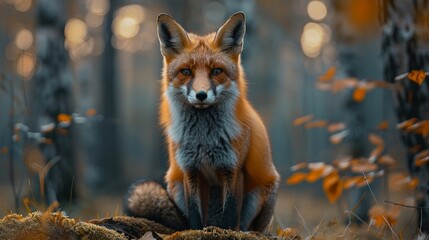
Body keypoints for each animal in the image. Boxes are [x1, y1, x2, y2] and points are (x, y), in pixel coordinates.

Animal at [123, 12, 280, 233]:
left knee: (246, 224)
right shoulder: (190, 169)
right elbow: (195, 216)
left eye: (216, 71)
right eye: (186, 72)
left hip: (260, 191)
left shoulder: (233, 168)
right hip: (174, 184)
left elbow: (230, 215)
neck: (204, 139)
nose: (201, 95)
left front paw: (226, 233)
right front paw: (197, 232)